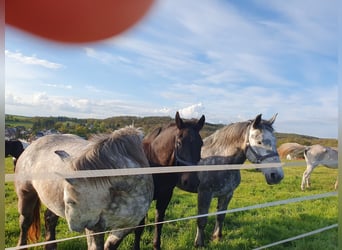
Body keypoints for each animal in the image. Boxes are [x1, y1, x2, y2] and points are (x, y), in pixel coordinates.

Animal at [134, 112, 204, 250]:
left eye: (201, 144)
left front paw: (156, 245)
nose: (191, 182)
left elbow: (159, 222)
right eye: (179, 143)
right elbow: (139, 228)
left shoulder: (165, 196)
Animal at [176, 114, 284, 247]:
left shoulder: (227, 194)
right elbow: (202, 220)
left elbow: (220, 216)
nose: (277, 176)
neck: (222, 161)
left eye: (275, 142)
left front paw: (217, 237)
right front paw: (199, 243)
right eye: (259, 142)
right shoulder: (204, 194)